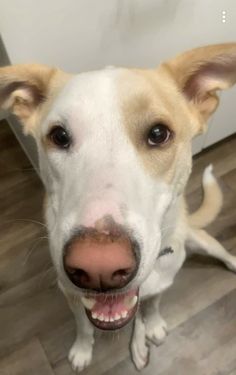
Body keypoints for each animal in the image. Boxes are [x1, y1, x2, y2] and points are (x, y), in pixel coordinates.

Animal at [0, 42, 236, 372]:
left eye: (158, 134)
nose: (99, 267)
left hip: (201, 240)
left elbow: (152, 306)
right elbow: (83, 326)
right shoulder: (71, 295)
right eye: (59, 136)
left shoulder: (161, 284)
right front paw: (83, 349)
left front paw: (153, 323)